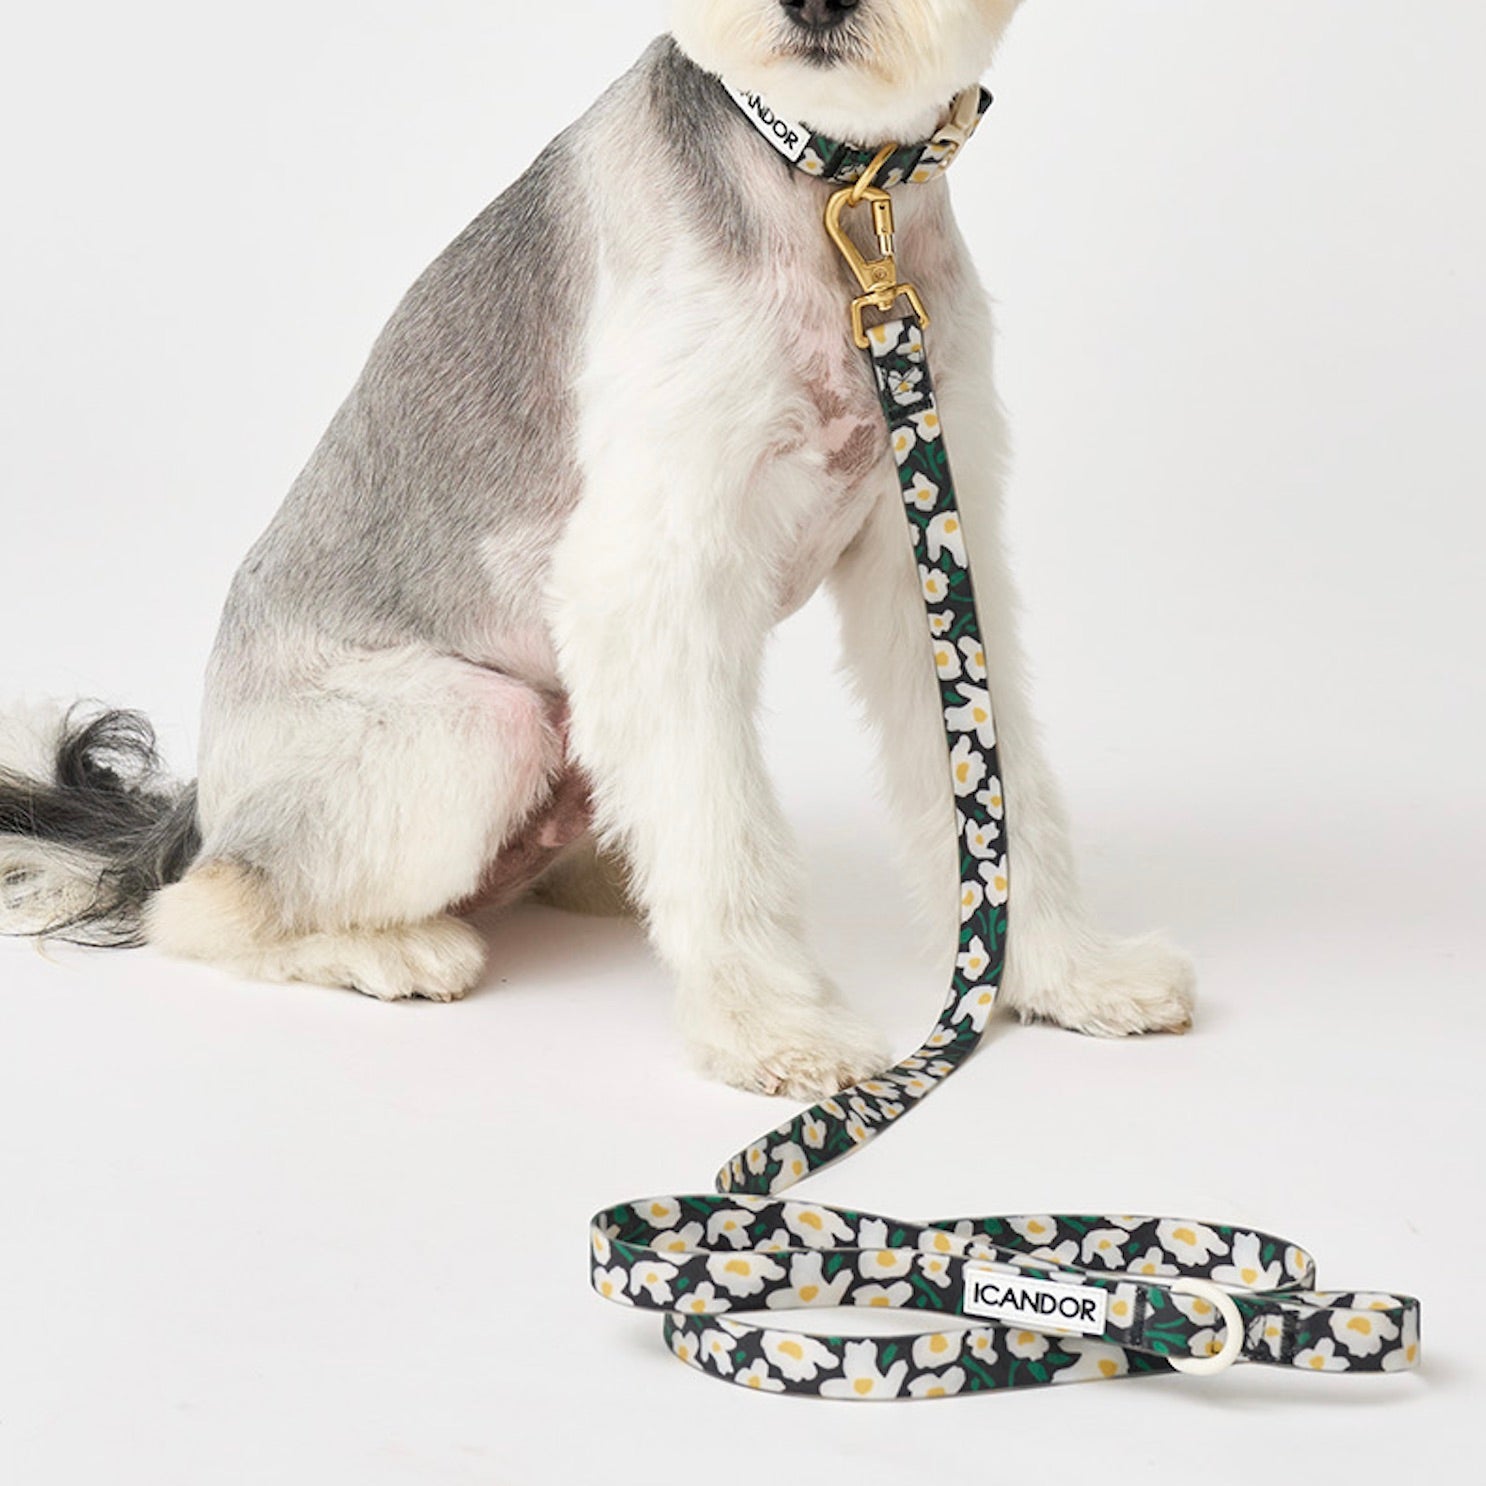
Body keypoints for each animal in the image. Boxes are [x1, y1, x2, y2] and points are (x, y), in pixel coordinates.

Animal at [0, 1, 1194, 1099]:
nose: (815, 4)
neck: (827, 190)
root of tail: (200, 808)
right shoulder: (653, 572)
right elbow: (719, 828)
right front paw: (771, 1029)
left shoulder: (930, 542)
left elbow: (995, 787)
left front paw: (1067, 973)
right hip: (475, 725)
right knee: (204, 906)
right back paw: (392, 948)